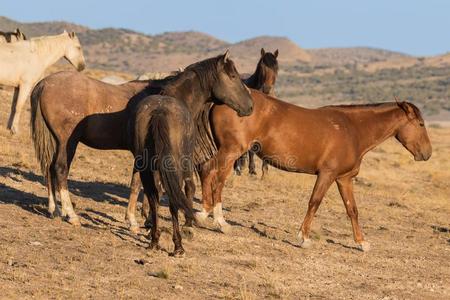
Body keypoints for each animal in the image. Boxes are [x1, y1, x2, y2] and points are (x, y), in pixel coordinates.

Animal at [30, 52, 253, 230]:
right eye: (233, 76)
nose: (250, 106)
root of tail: (44, 83)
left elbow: (143, 185)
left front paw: (141, 219)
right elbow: (144, 185)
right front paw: (138, 221)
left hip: (58, 142)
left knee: (49, 168)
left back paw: (54, 209)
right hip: (67, 142)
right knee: (60, 169)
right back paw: (71, 214)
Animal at [198, 91, 432, 251]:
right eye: (420, 124)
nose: (427, 154)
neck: (352, 129)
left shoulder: (344, 179)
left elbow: (352, 210)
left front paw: (362, 243)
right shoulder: (327, 175)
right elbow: (314, 203)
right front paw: (304, 238)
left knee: (205, 170)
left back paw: (205, 213)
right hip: (231, 151)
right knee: (215, 176)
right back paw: (218, 221)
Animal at [234, 48, 280, 177]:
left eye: (276, 67)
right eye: (262, 66)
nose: (267, 89)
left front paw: (265, 171)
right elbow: (252, 149)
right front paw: (252, 170)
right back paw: (238, 168)